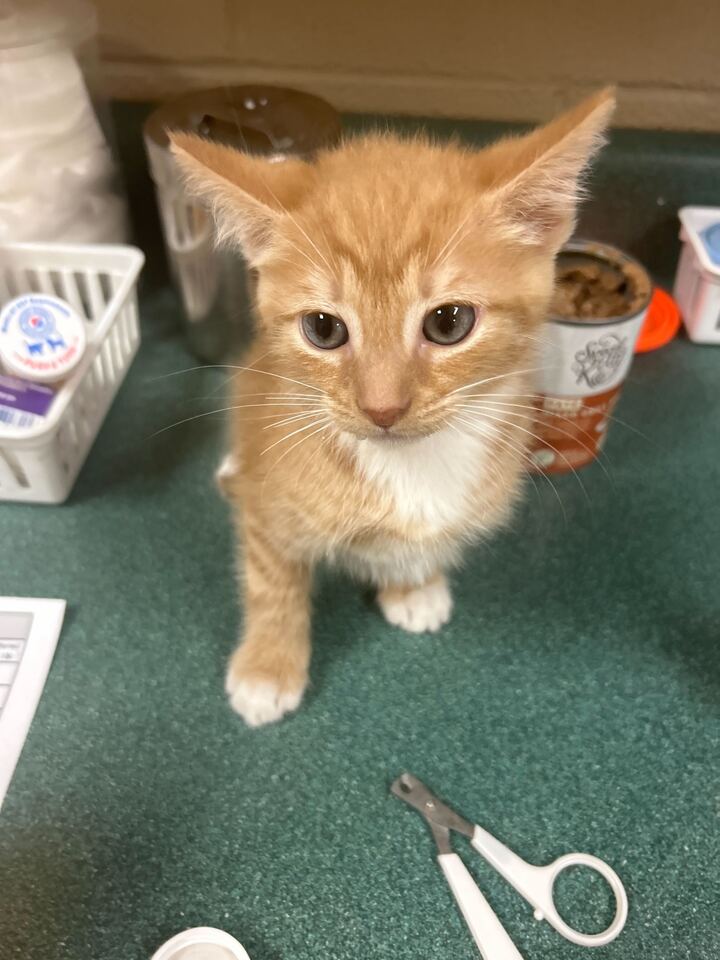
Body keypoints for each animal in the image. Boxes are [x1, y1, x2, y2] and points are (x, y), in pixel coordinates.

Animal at [169, 88, 612, 728]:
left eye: (448, 322)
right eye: (323, 329)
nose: (382, 408)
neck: (412, 466)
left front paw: (413, 585)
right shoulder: (271, 512)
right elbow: (272, 581)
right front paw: (267, 667)